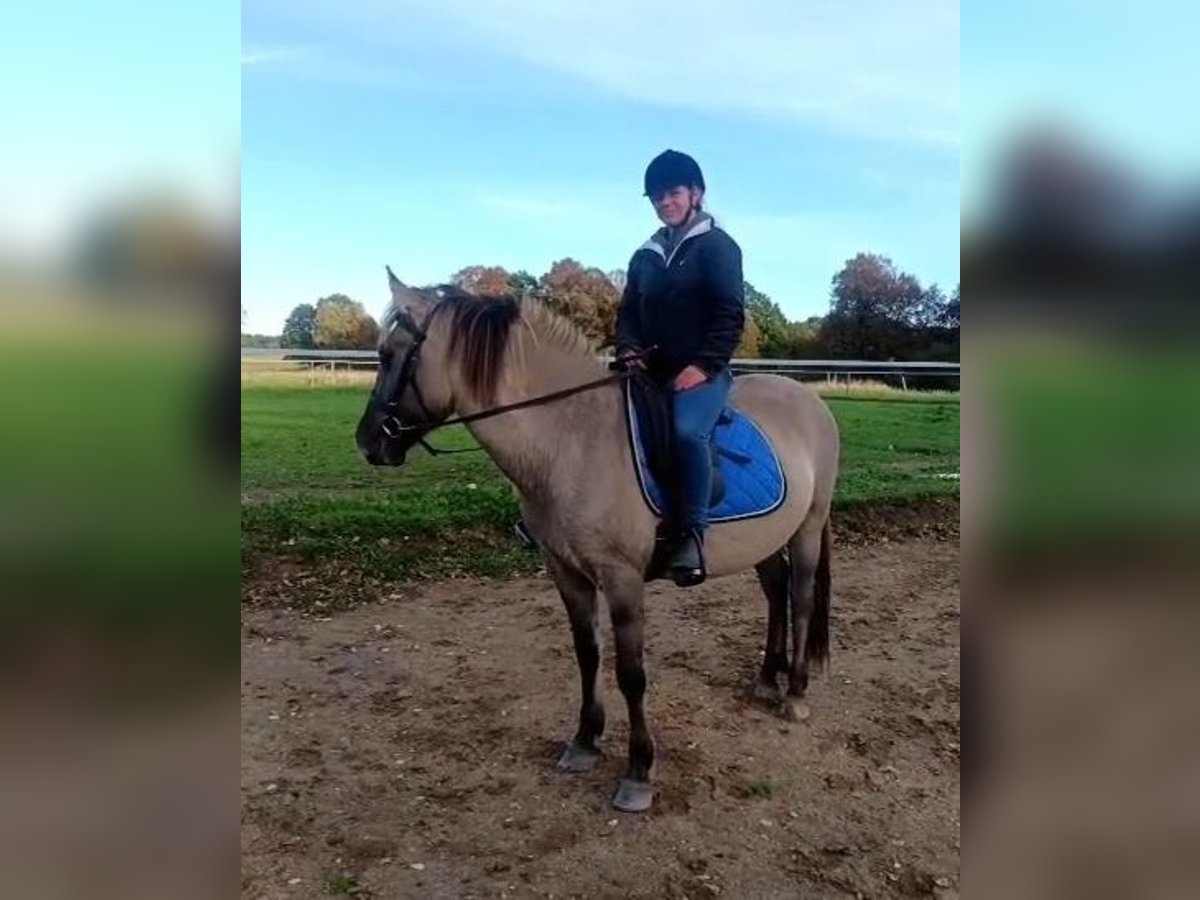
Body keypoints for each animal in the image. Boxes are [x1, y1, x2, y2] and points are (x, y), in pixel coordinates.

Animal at [356, 269, 840, 813]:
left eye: (390, 354)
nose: (368, 441)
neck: (572, 440)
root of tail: (809, 400)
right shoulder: (566, 572)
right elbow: (588, 655)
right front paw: (585, 741)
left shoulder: (621, 577)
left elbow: (631, 673)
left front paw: (639, 771)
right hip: (765, 538)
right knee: (776, 592)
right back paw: (765, 679)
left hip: (807, 528)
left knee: (800, 599)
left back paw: (794, 693)